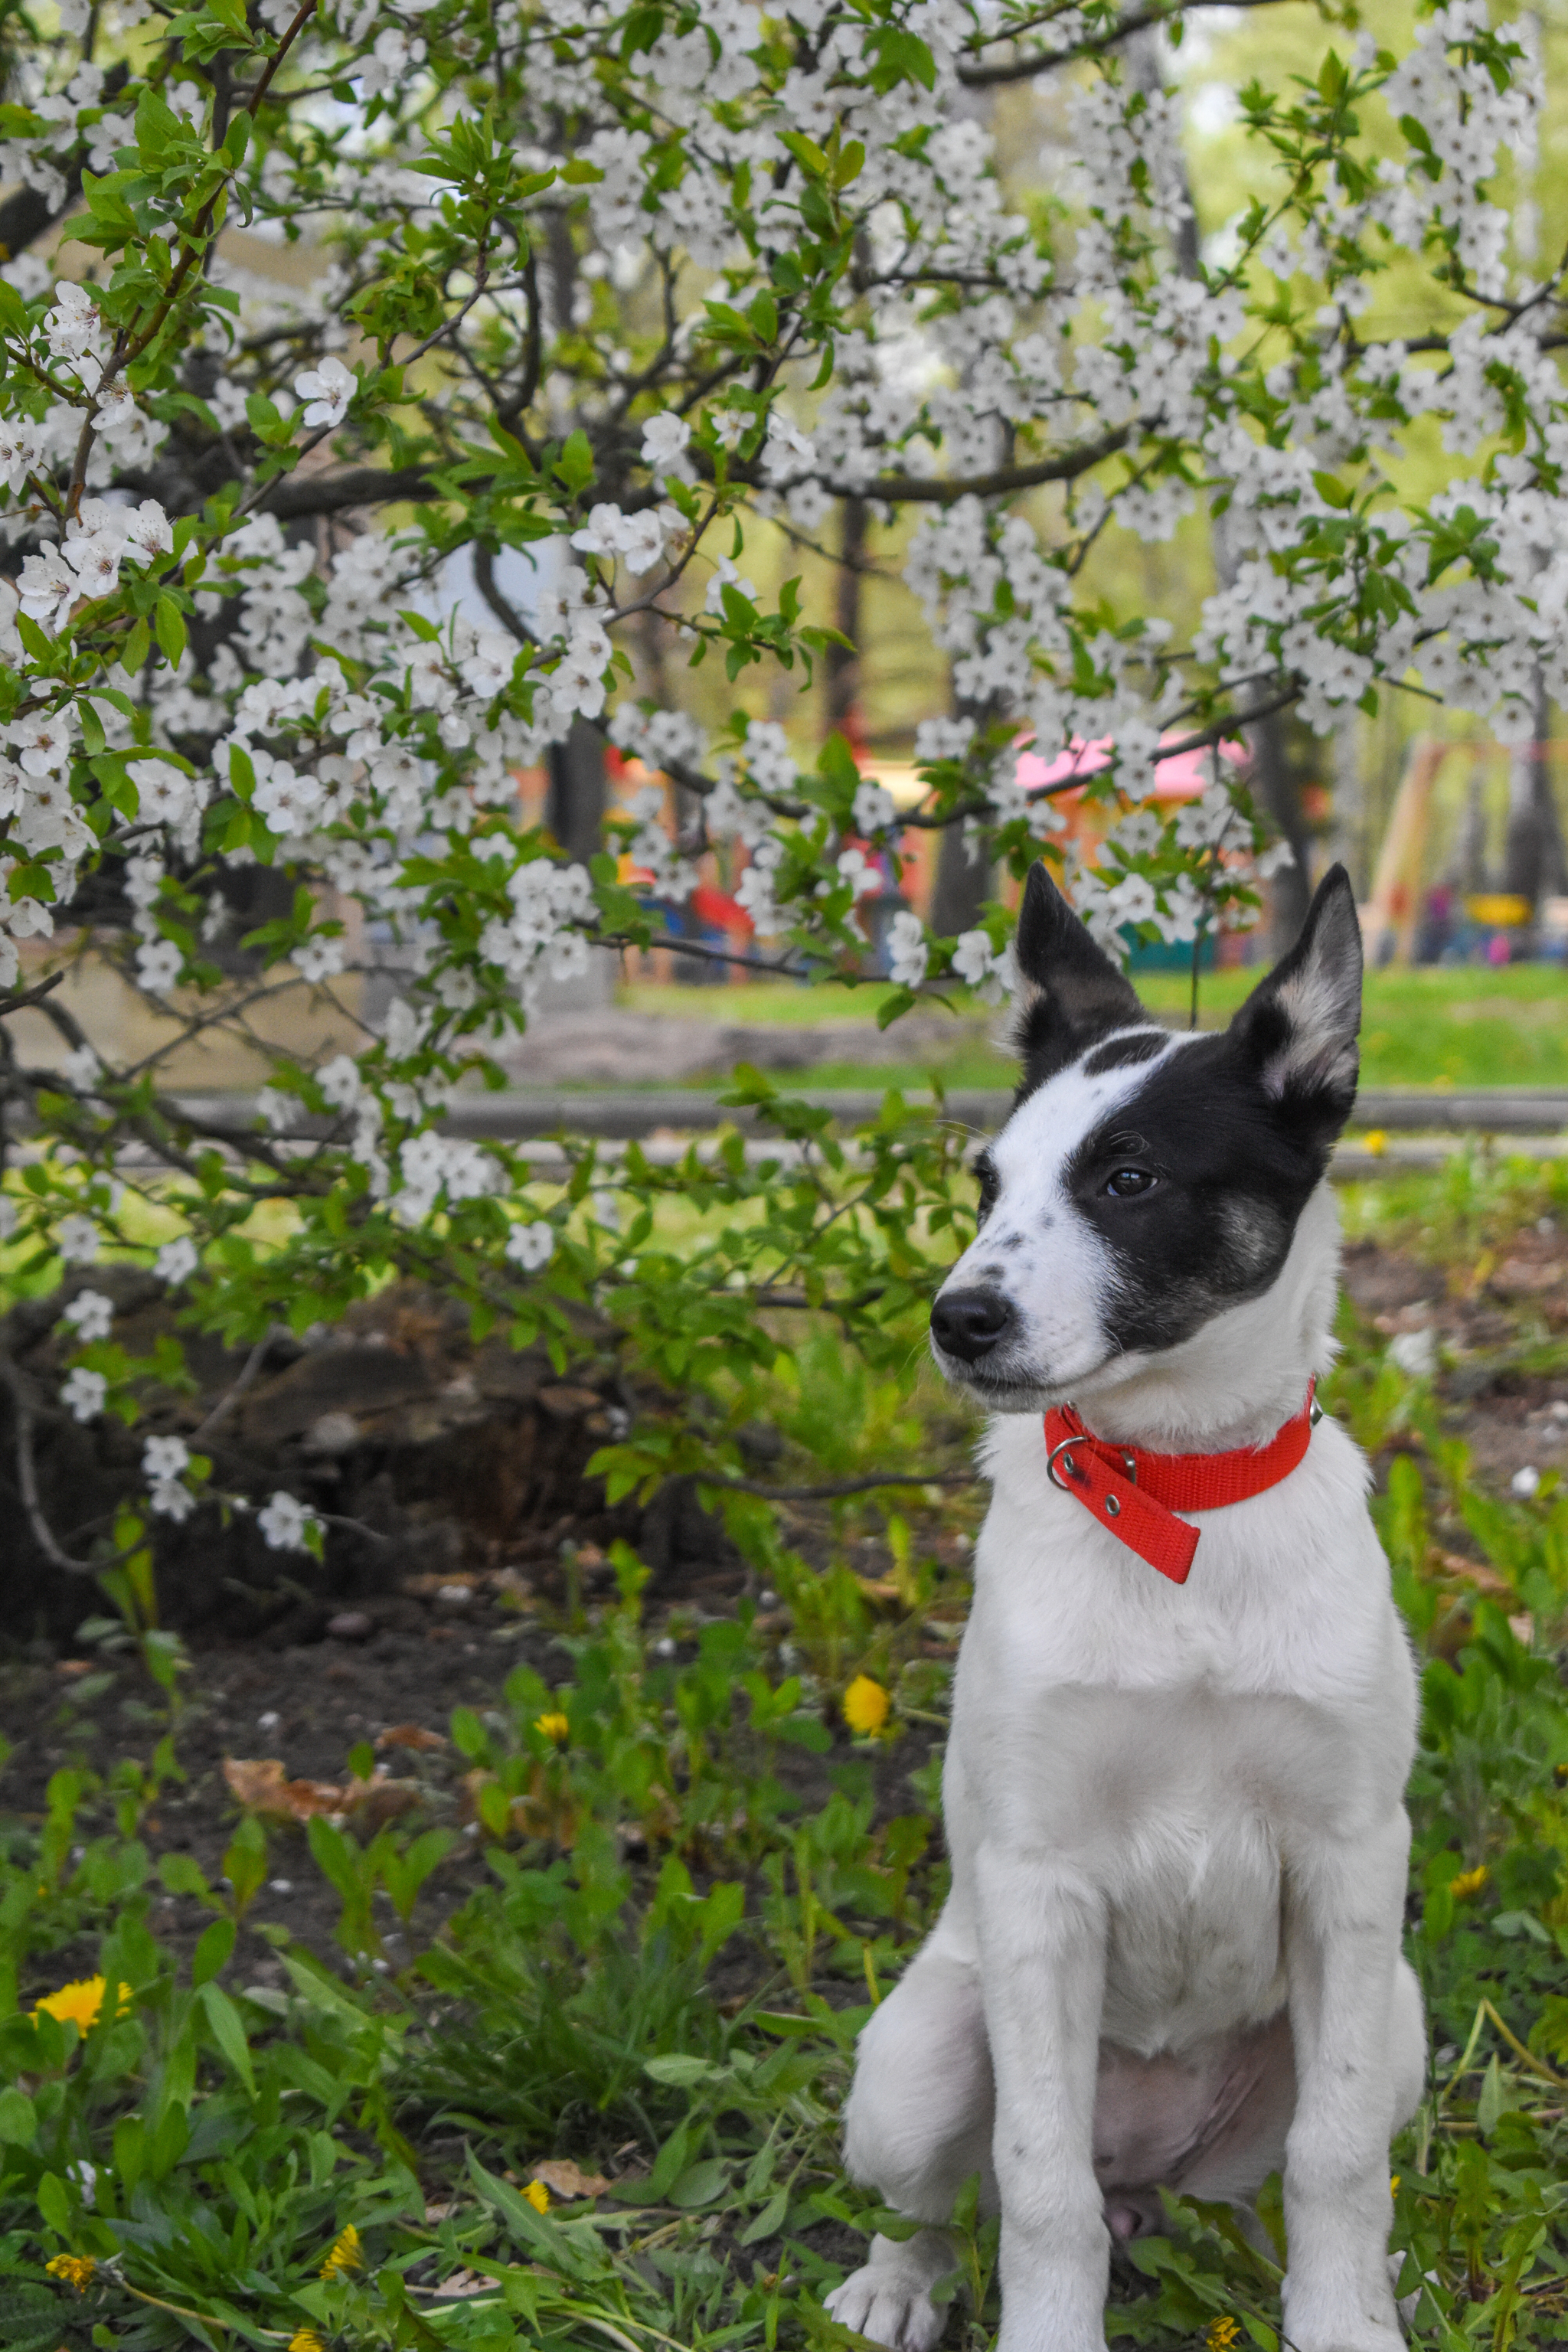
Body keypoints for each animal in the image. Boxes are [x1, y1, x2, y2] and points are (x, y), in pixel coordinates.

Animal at [827, 861, 1429, 2352]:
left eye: (1129, 1177)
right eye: (985, 1182)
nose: (957, 1319)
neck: (1176, 1499)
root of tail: (1146, 2175)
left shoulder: (1349, 1864)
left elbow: (1338, 2160)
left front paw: (1344, 2322)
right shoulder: (1039, 1885)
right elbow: (1036, 2182)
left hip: (1392, 2015)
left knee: (1271, 2184)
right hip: (922, 2048)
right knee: (957, 2199)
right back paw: (895, 2281)